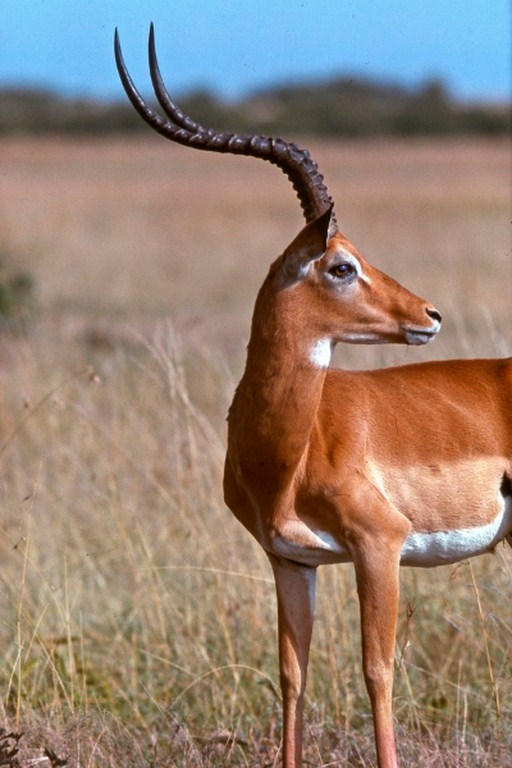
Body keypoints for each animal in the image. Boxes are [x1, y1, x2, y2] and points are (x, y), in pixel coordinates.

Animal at [115, 25, 512, 768]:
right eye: (341, 265)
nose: (430, 314)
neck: (289, 450)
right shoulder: (291, 559)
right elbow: (292, 673)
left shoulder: (379, 546)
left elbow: (376, 670)